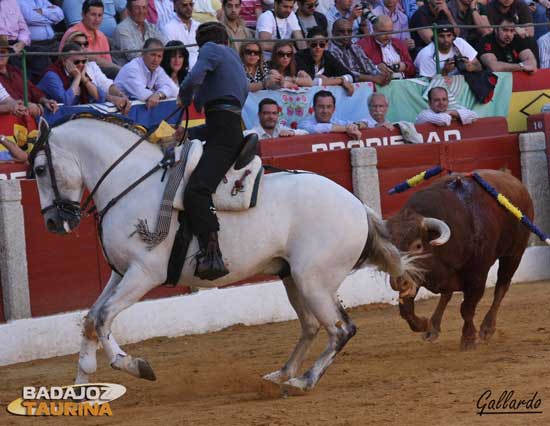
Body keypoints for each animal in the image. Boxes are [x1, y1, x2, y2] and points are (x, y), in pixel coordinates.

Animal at [31, 116, 422, 392]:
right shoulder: (119, 271)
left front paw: (135, 366)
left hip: (313, 281)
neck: (131, 182)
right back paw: (281, 374)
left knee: (341, 329)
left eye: (38, 169)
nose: (52, 222)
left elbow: (103, 317)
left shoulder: (144, 273)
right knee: (312, 325)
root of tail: (358, 206)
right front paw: (83, 384)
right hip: (294, 278)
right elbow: (90, 317)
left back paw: (302, 382)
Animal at [388, 170, 536, 350]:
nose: (397, 281)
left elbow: (467, 308)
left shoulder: (477, 276)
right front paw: (425, 324)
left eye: (417, 245)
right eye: (391, 244)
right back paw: (433, 328)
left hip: (514, 254)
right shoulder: (418, 277)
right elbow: (406, 310)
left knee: (501, 288)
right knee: (446, 294)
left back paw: (487, 329)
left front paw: (468, 338)